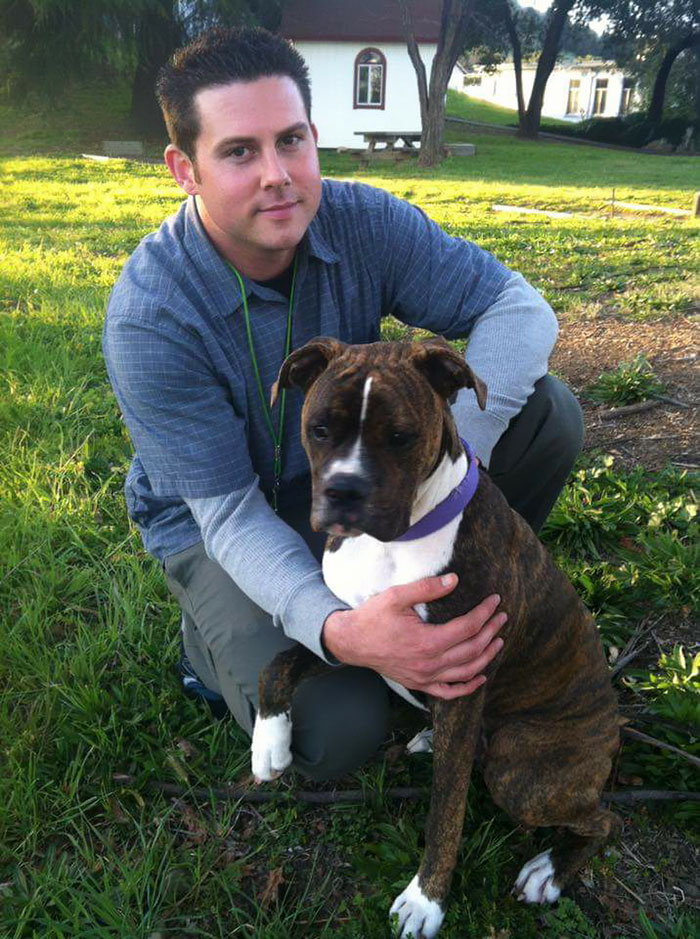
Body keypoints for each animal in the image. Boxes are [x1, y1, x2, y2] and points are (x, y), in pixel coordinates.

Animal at [250, 338, 616, 939]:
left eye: (400, 436)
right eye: (320, 429)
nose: (345, 489)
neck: (396, 542)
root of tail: (616, 728)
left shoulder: (462, 678)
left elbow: (446, 810)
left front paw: (426, 900)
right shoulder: (360, 636)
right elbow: (279, 661)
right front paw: (269, 741)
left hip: (520, 772)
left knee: (602, 819)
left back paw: (551, 870)